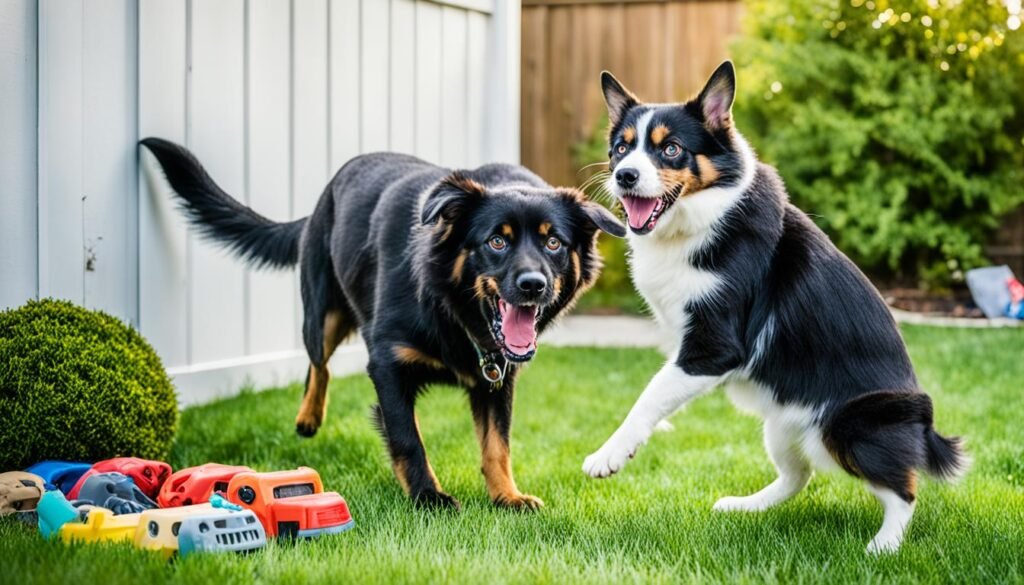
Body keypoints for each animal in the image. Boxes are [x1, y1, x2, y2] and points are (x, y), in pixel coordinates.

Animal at [142, 139, 622, 510]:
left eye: (553, 242)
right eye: (496, 242)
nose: (533, 286)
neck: (453, 310)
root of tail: (323, 197)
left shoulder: (497, 378)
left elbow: (497, 446)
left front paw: (507, 496)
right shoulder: (388, 364)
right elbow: (408, 438)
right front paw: (429, 497)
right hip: (322, 314)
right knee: (319, 363)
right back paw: (308, 417)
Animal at [581, 64, 962, 553]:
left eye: (671, 149)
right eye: (622, 148)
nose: (625, 175)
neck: (701, 219)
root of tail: (925, 429)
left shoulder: (713, 347)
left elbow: (650, 394)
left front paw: (610, 453)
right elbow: (659, 390)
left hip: (847, 426)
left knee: (903, 488)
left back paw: (884, 546)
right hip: (781, 424)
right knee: (799, 475)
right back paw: (745, 507)